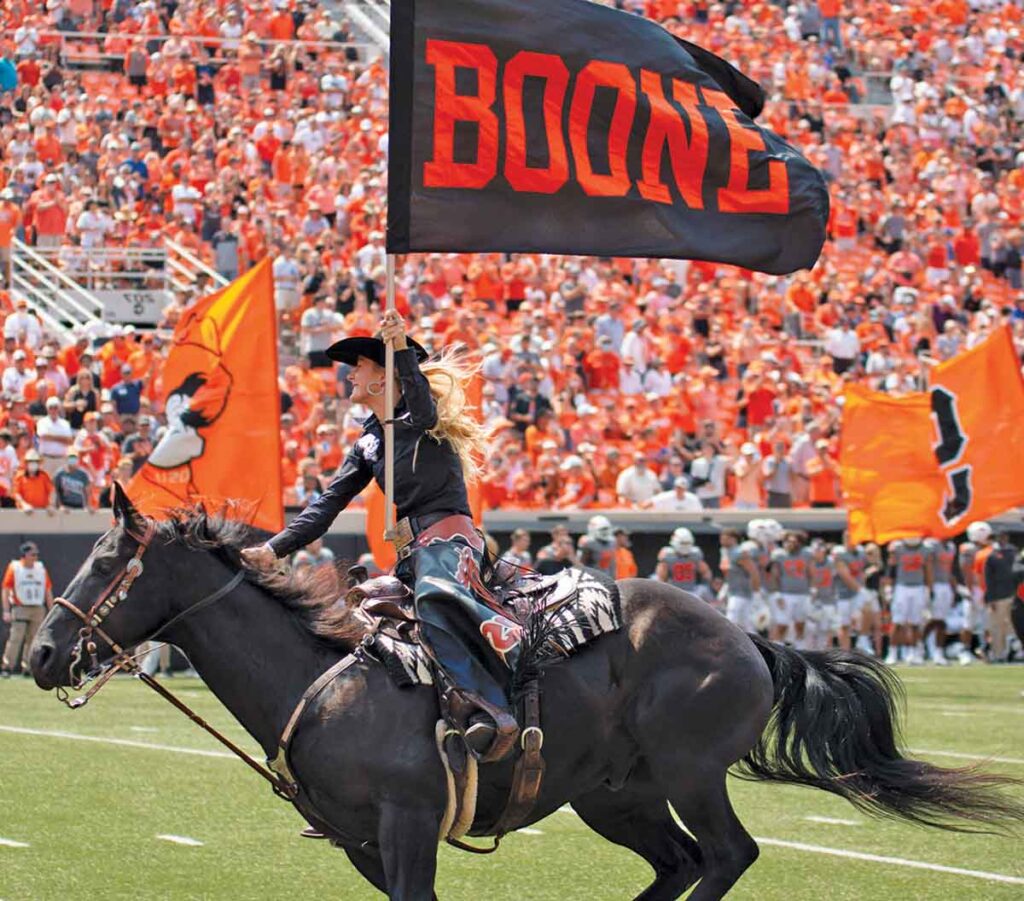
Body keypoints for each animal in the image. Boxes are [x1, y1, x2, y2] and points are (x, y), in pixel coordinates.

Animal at [25, 489, 1024, 896]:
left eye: (108, 559)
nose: (38, 651)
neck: (329, 680)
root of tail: (747, 637)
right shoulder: (362, 846)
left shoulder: (406, 825)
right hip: (616, 796)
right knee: (681, 864)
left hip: (691, 774)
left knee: (727, 855)